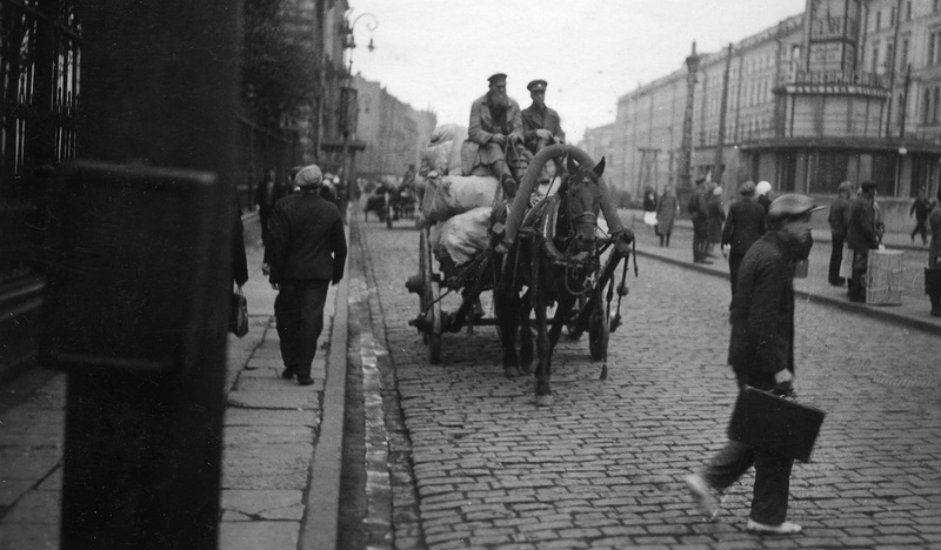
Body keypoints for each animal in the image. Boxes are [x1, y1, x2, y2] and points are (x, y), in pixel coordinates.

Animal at [496, 157, 612, 408]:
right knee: (508, 307)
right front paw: (543, 387)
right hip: (509, 276)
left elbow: (554, 334)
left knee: (521, 307)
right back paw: (511, 360)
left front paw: (542, 371)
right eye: (573, 194)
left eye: (599, 196)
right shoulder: (540, 292)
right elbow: (544, 339)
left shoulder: (568, 297)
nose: (588, 240)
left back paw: (526, 355)